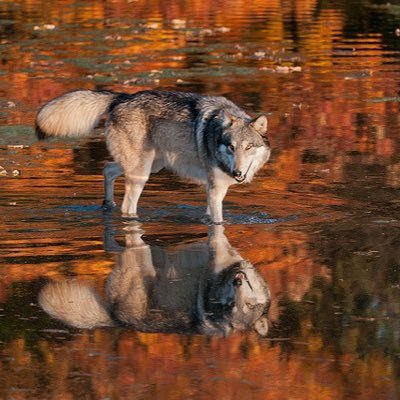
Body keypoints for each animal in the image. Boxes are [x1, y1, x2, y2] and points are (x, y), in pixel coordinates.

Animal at [36, 88, 270, 223]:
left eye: (249, 147)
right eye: (231, 147)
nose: (237, 172)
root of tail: (122, 97)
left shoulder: (213, 190)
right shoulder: (215, 189)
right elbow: (218, 223)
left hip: (150, 165)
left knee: (107, 169)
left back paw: (107, 205)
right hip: (141, 174)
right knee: (127, 205)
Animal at [38, 223, 272, 336]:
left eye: (248, 305)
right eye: (232, 304)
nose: (238, 279)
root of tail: (117, 320)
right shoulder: (217, 248)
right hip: (140, 255)